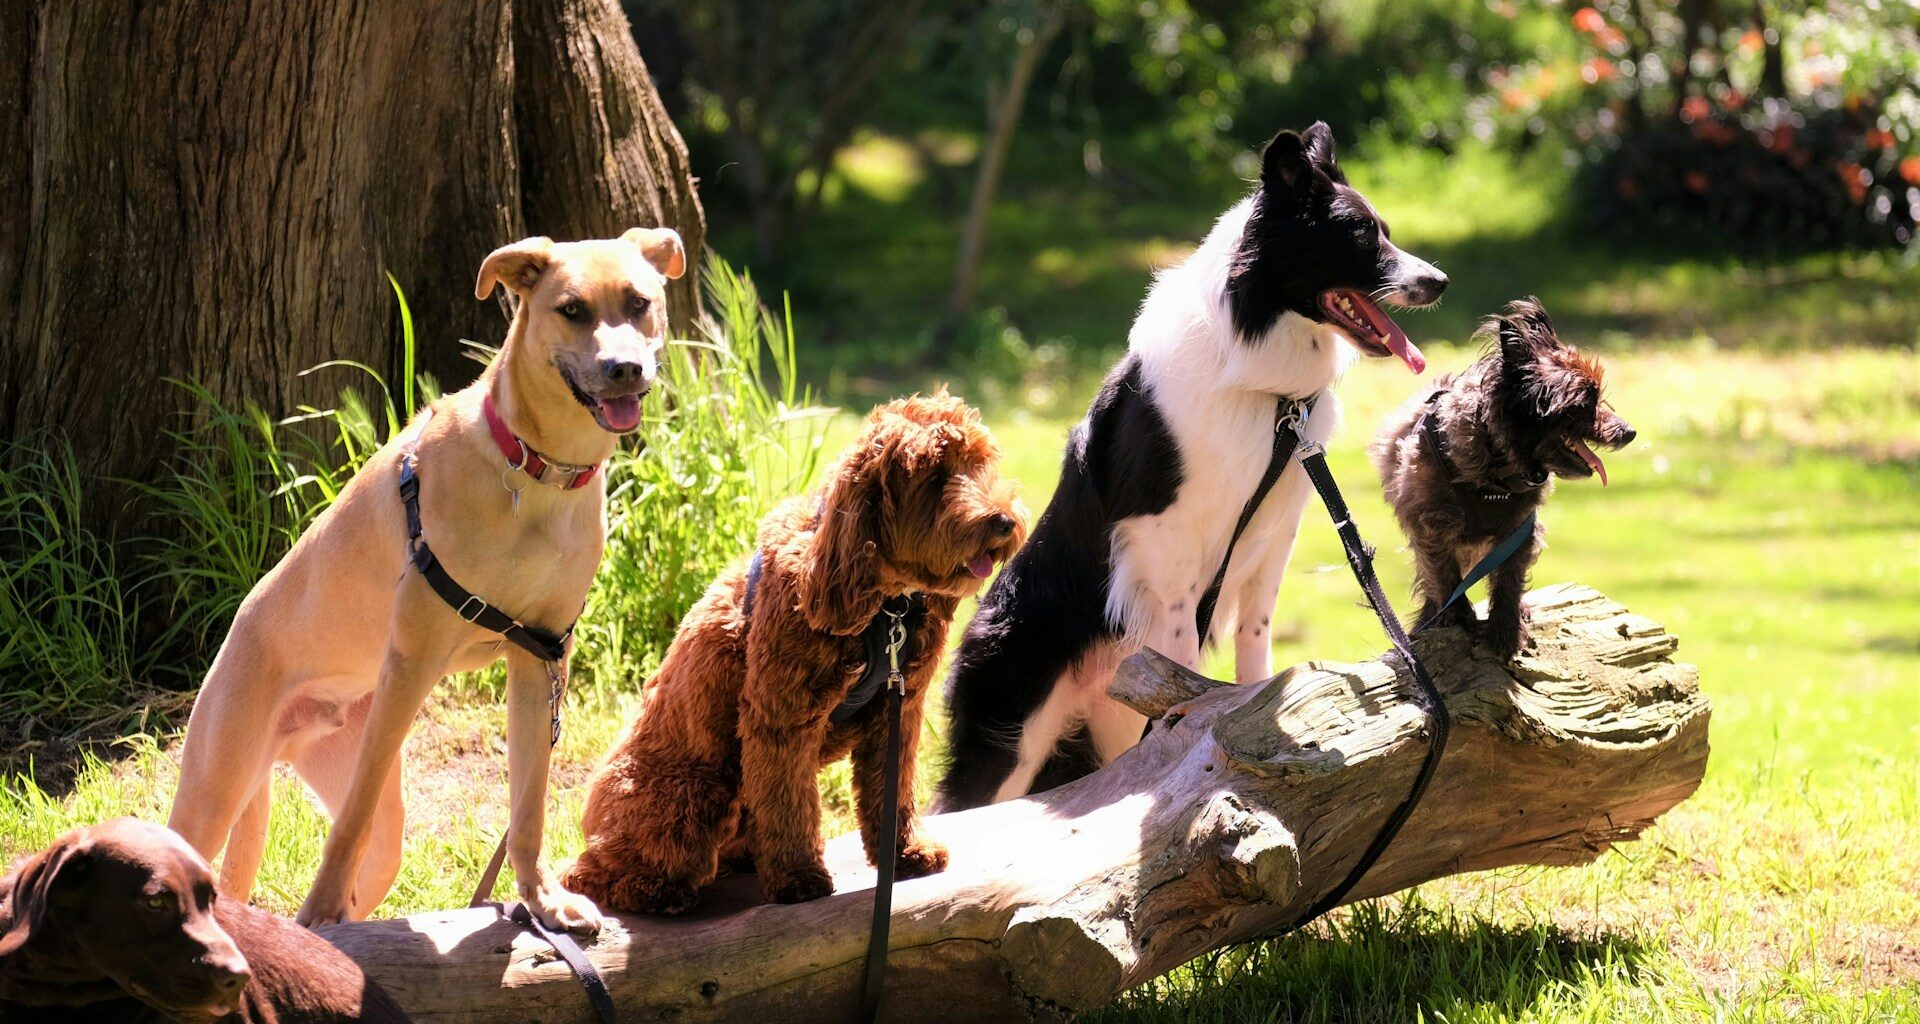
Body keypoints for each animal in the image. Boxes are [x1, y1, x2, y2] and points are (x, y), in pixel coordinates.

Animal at [165, 227, 687, 929]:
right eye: (572, 309)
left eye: (638, 303)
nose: (624, 369)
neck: (535, 472)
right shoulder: (411, 664)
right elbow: (348, 826)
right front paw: (318, 912)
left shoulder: (541, 658)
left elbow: (528, 806)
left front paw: (542, 901)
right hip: (217, 788)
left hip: (376, 815)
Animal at [560, 391, 1029, 910]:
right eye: (934, 477)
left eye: (980, 464)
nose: (1004, 521)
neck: (884, 605)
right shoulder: (781, 717)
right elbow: (789, 804)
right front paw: (799, 877)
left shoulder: (898, 711)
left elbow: (891, 792)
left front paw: (905, 853)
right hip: (693, 797)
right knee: (586, 873)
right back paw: (655, 891)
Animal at [936, 123, 1443, 806]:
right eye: (1362, 236)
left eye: (1384, 230)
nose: (1440, 281)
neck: (1264, 388)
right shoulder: (1162, 537)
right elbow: (1177, 649)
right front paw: (1184, 707)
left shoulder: (1274, 531)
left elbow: (1256, 637)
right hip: (1014, 734)